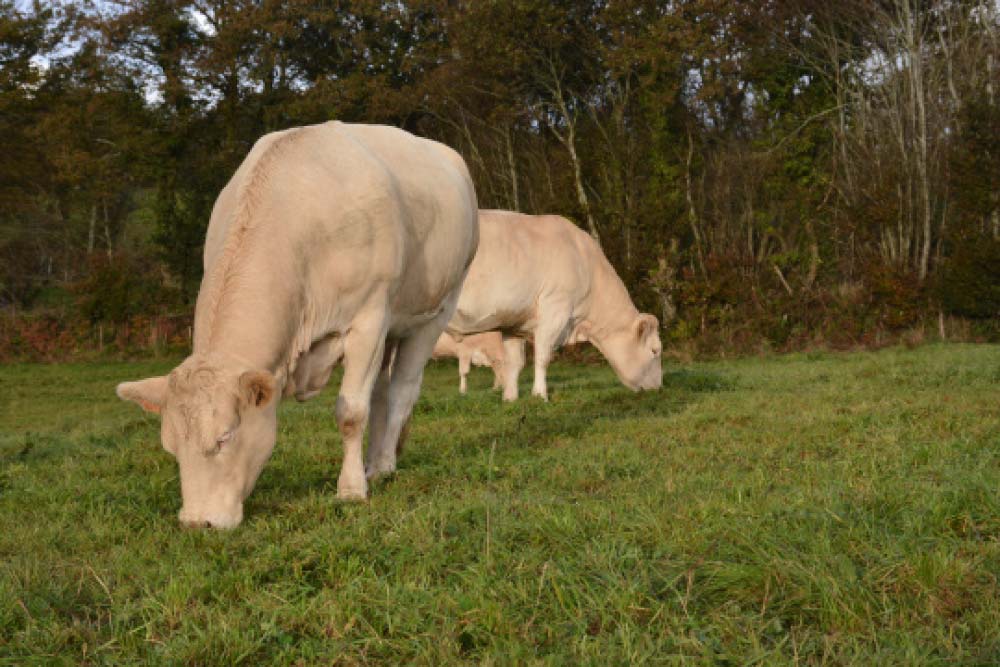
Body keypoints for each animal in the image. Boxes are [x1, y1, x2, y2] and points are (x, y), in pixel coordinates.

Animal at [115, 120, 478, 528]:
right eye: (171, 446)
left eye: (225, 436)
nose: (197, 521)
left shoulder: (369, 319)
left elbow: (352, 412)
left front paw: (350, 489)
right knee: (383, 392)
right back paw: (373, 463)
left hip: (437, 309)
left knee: (402, 389)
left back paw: (383, 465)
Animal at [450, 209, 660, 402]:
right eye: (655, 350)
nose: (659, 387)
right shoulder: (555, 309)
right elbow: (542, 357)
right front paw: (540, 395)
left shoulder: (514, 322)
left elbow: (514, 363)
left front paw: (510, 398)